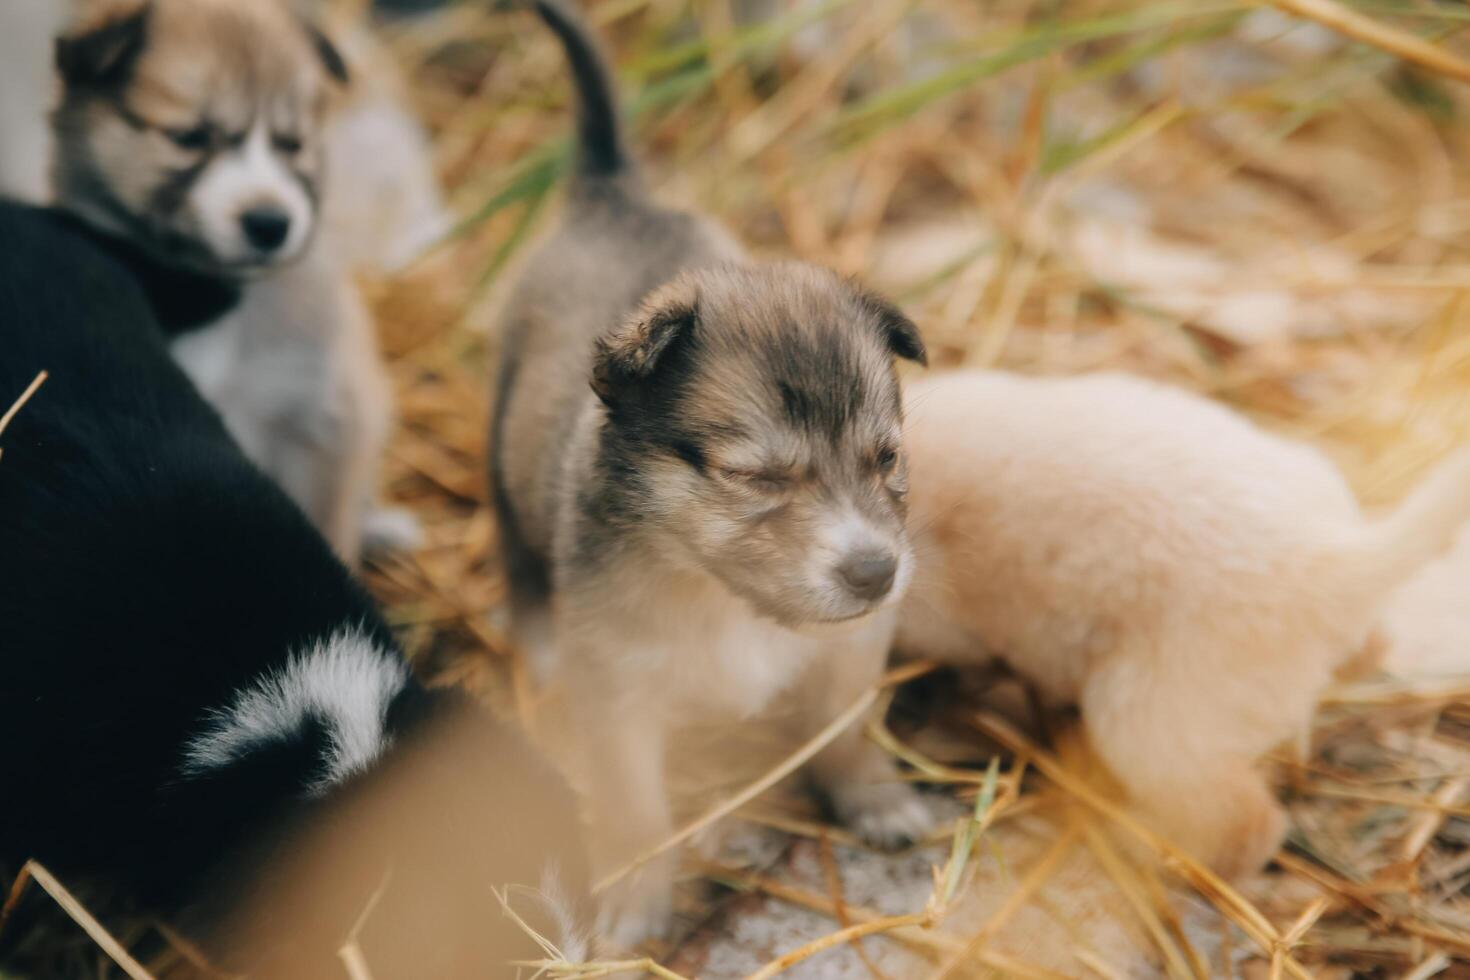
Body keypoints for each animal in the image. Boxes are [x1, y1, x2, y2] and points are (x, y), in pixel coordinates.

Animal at [490, 1, 929, 952]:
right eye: (754, 476)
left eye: (885, 459)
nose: (876, 572)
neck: (724, 600)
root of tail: (611, 189)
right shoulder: (617, 693)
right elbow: (636, 806)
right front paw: (636, 895)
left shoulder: (851, 648)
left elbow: (844, 730)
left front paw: (874, 799)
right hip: (500, 443)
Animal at [893, 371, 1470, 875]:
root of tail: (1332, 553)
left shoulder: (939, 618)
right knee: (1372, 645)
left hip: (1150, 722)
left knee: (1246, 825)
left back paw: (1152, 851)